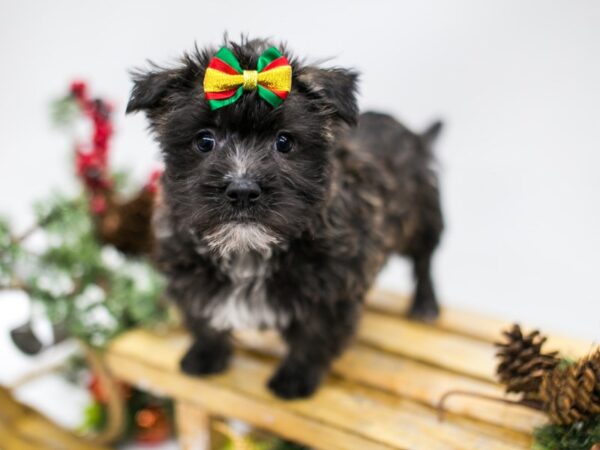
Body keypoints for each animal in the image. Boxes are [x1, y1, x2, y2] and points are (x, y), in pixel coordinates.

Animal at [126, 37, 442, 398]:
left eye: (284, 142)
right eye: (204, 140)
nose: (243, 190)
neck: (248, 252)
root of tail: (414, 134)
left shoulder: (331, 289)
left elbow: (314, 338)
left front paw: (294, 380)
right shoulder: (188, 269)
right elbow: (202, 317)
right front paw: (205, 357)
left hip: (423, 216)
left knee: (424, 259)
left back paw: (425, 305)